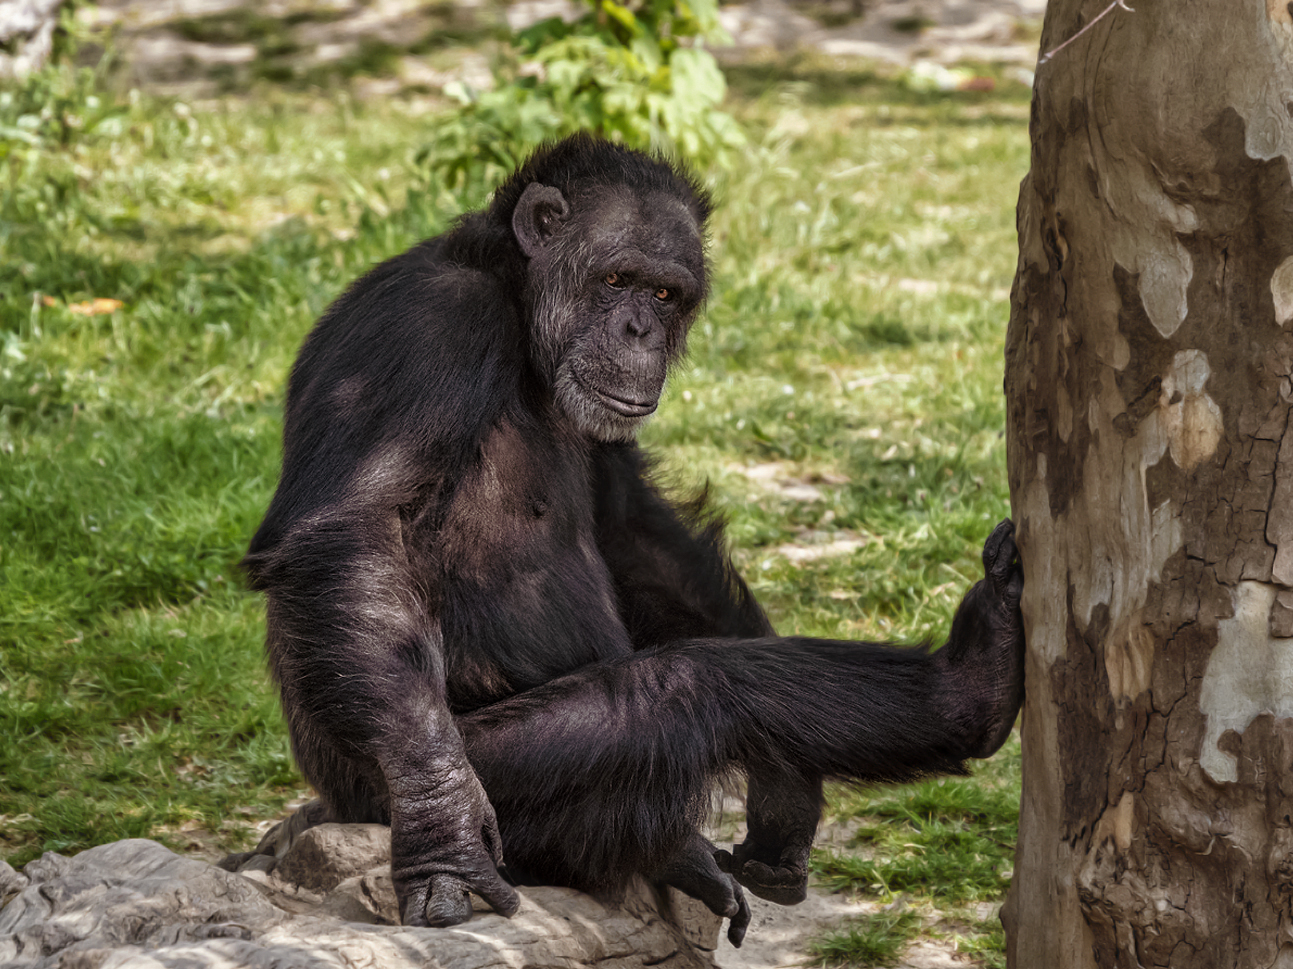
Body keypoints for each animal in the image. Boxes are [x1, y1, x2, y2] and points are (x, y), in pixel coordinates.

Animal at [243, 132, 1024, 941]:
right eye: (617, 278)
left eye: (664, 295)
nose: (638, 329)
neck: (518, 313)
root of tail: (327, 801)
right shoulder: (424, 328)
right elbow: (354, 531)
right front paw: (440, 821)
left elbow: (633, 526)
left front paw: (789, 790)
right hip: (436, 783)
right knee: (688, 688)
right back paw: (966, 691)